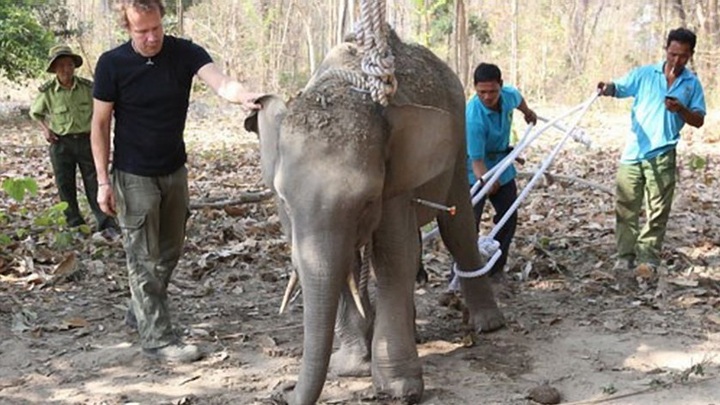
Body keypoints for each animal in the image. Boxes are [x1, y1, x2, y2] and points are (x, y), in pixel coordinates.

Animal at [245, 28, 505, 405]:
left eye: (367, 201)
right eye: (284, 201)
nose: (283, 392)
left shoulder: (392, 182)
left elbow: (393, 257)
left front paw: (399, 388)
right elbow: (347, 265)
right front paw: (353, 367)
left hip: (459, 144)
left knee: (456, 228)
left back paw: (488, 324)